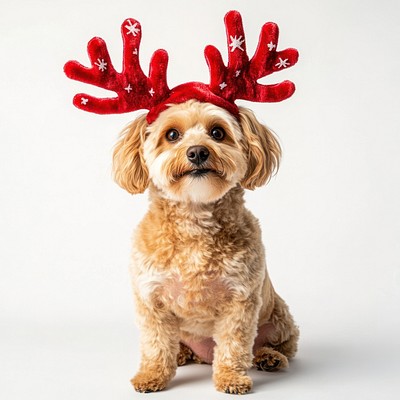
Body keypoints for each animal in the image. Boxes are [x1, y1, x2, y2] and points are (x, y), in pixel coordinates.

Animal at [111, 100, 298, 394]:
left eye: (217, 133)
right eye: (172, 134)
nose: (198, 151)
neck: (194, 222)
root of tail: (205, 355)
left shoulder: (240, 300)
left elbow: (234, 346)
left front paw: (231, 378)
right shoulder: (151, 299)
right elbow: (155, 345)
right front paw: (151, 375)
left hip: (280, 320)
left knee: (276, 345)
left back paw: (269, 358)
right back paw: (181, 354)